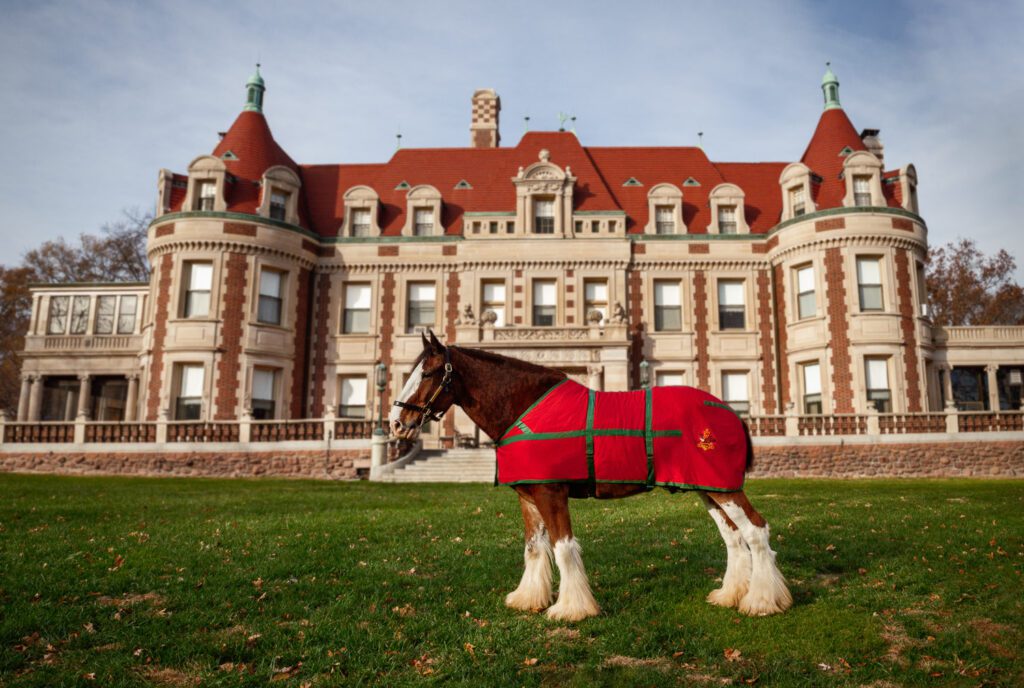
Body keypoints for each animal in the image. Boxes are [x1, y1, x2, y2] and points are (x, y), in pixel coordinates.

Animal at [387, 329, 794, 622]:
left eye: (427, 372)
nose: (396, 424)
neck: (524, 408)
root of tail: (729, 412)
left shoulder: (552, 493)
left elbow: (563, 546)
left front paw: (571, 609)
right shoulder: (528, 495)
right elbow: (534, 548)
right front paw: (528, 598)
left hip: (724, 487)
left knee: (756, 530)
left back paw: (761, 601)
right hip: (706, 488)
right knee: (733, 536)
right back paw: (730, 595)